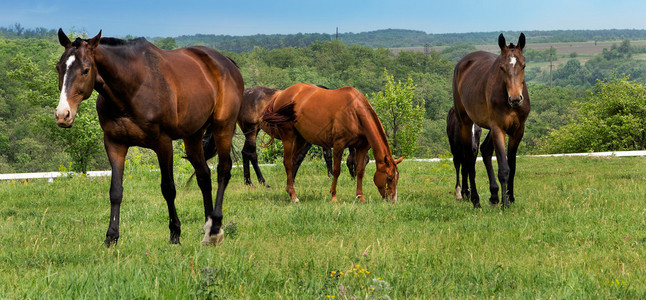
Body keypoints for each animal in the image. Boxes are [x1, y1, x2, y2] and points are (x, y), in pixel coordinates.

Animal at [55, 29, 243, 246]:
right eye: (59, 67)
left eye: (85, 70)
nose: (62, 115)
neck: (132, 87)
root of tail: (227, 63)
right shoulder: (115, 143)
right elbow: (115, 191)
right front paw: (111, 237)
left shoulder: (163, 144)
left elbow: (168, 189)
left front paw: (175, 234)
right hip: (193, 135)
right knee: (204, 176)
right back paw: (208, 226)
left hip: (223, 127)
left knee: (223, 170)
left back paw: (215, 228)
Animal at [260, 83, 402, 203]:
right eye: (389, 178)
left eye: (397, 178)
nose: (392, 200)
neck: (354, 112)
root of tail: (280, 94)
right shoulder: (339, 145)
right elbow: (336, 170)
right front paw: (333, 196)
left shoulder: (362, 147)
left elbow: (360, 172)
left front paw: (360, 197)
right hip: (288, 136)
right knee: (288, 163)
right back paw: (294, 196)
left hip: (301, 139)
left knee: (293, 162)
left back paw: (290, 193)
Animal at [454, 32, 536, 209]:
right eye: (501, 67)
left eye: (523, 65)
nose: (515, 99)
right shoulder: (499, 128)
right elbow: (504, 168)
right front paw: (505, 205)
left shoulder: (518, 130)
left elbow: (512, 166)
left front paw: (510, 198)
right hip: (465, 122)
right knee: (469, 159)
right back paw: (475, 199)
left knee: (484, 150)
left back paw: (493, 195)